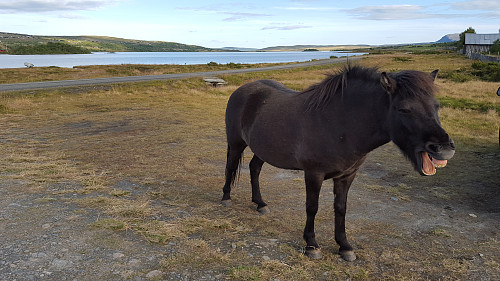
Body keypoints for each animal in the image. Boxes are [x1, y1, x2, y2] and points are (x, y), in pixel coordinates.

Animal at [221, 65, 456, 260]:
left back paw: (260, 203)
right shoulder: (313, 174)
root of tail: (242, 90)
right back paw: (226, 198)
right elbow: (312, 207)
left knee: (254, 169)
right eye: (404, 109)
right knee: (231, 167)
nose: (444, 149)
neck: (338, 123)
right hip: (236, 143)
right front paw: (312, 245)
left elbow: (341, 208)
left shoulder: (347, 175)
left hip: (262, 149)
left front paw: (344, 246)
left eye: (436, 106)